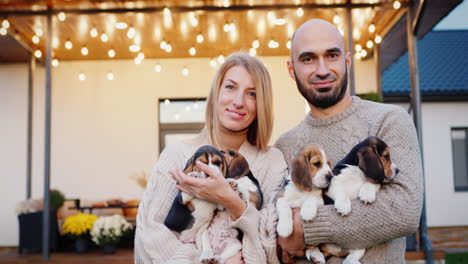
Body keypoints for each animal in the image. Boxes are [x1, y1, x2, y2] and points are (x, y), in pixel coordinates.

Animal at [322, 136, 398, 264]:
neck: (358, 172)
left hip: (359, 243)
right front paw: (344, 206)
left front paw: (367, 194)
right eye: (387, 156)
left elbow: (371, 183)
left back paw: (351, 261)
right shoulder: (332, 184)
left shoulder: (376, 182)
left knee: (354, 254)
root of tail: (335, 250)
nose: (398, 171)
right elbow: (340, 190)